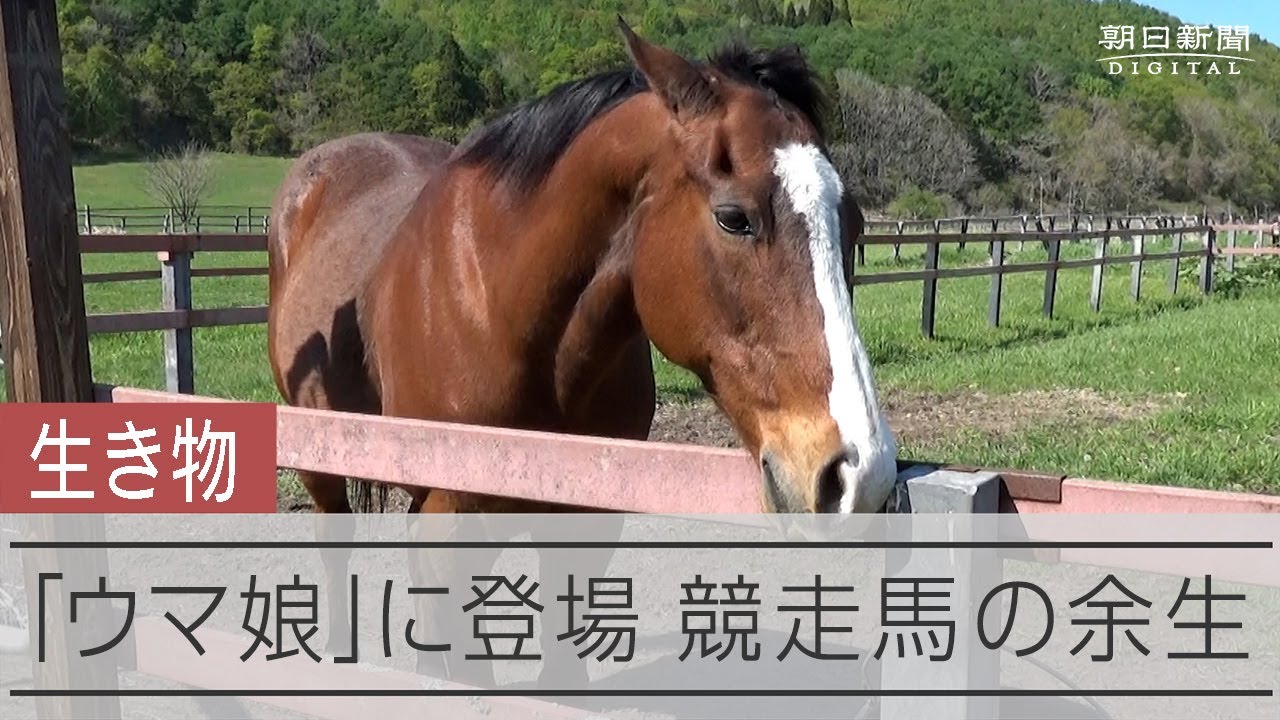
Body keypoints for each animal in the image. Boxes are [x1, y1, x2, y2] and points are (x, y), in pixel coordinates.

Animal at [266, 20, 898, 687]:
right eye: (734, 219)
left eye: (854, 225)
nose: (860, 473)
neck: (502, 311)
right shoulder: (450, 518)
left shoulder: (585, 517)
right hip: (319, 456)